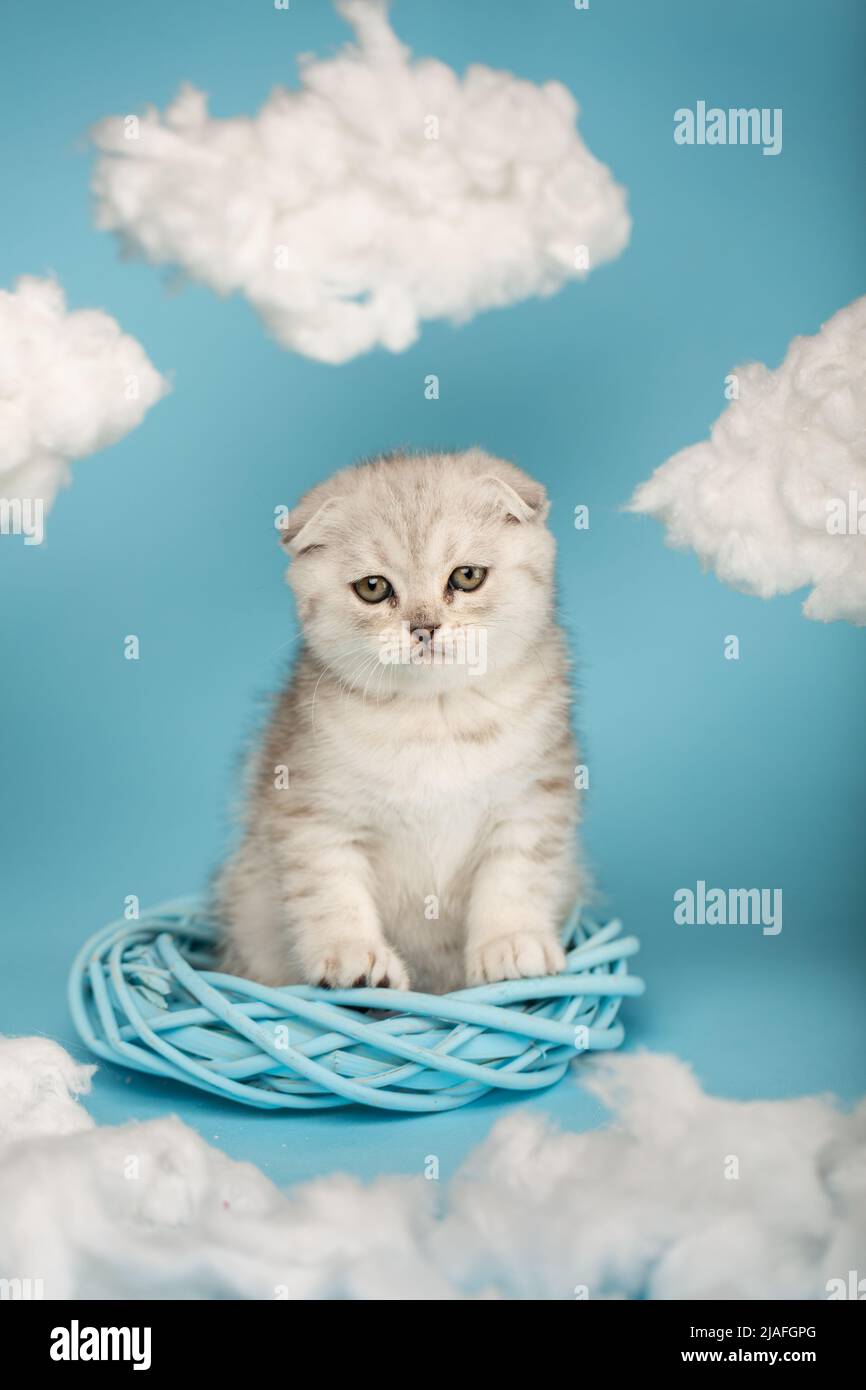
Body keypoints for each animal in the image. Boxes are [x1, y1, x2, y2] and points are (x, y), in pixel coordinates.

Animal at [214, 444, 586, 989]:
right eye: (373, 587)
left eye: (467, 576)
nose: (425, 627)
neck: (432, 717)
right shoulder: (311, 811)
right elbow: (329, 891)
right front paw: (354, 954)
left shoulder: (533, 800)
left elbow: (516, 876)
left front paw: (510, 943)